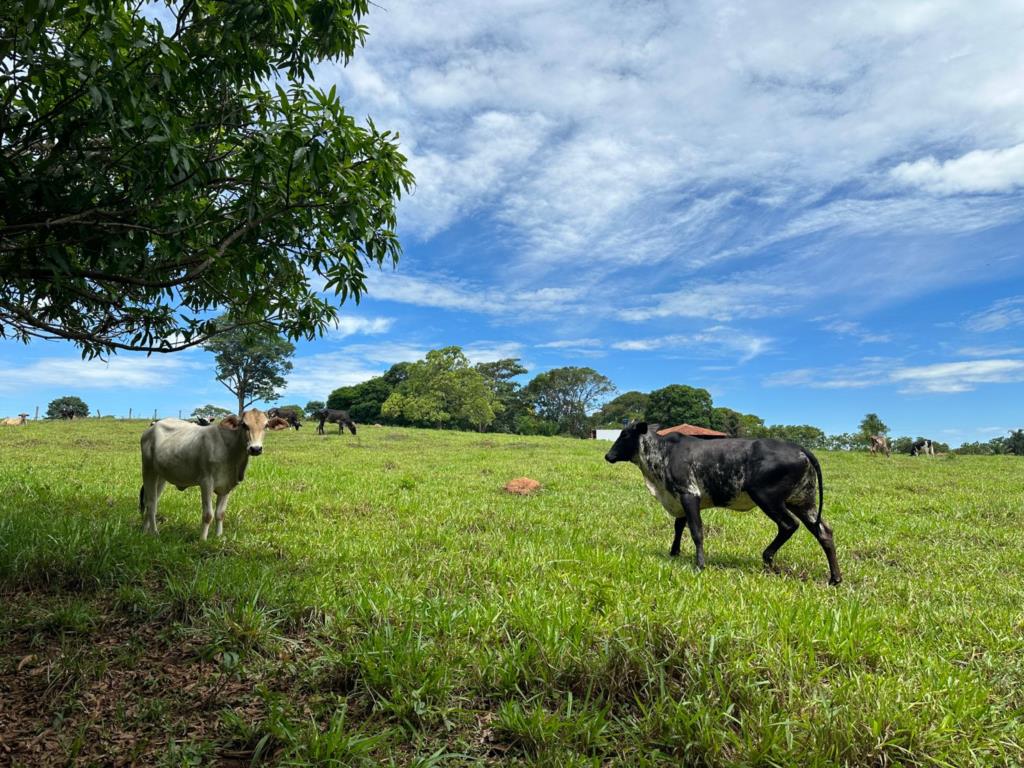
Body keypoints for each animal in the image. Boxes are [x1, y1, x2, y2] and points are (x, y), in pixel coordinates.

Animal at [140, 409, 288, 540]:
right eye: (244, 425)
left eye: (266, 425)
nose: (255, 449)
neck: (229, 448)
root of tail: (151, 428)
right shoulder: (206, 482)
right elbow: (208, 515)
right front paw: (203, 540)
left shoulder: (227, 486)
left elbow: (220, 514)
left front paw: (218, 537)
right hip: (148, 470)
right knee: (151, 503)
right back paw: (154, 532)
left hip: (161, 476)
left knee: (151, 500)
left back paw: (145, 530)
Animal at [606, 423, 839, 585]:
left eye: (624, 434)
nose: (608, 455)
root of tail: (799, 448)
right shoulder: (679, 498)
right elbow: (678, 527)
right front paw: (674, 552)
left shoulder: (689, 494)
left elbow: (696, 531)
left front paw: (700, 564)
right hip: (802, 501)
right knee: (823, 531)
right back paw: (835, 579)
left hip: (768, 498)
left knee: (789, 525)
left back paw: (768, 559)